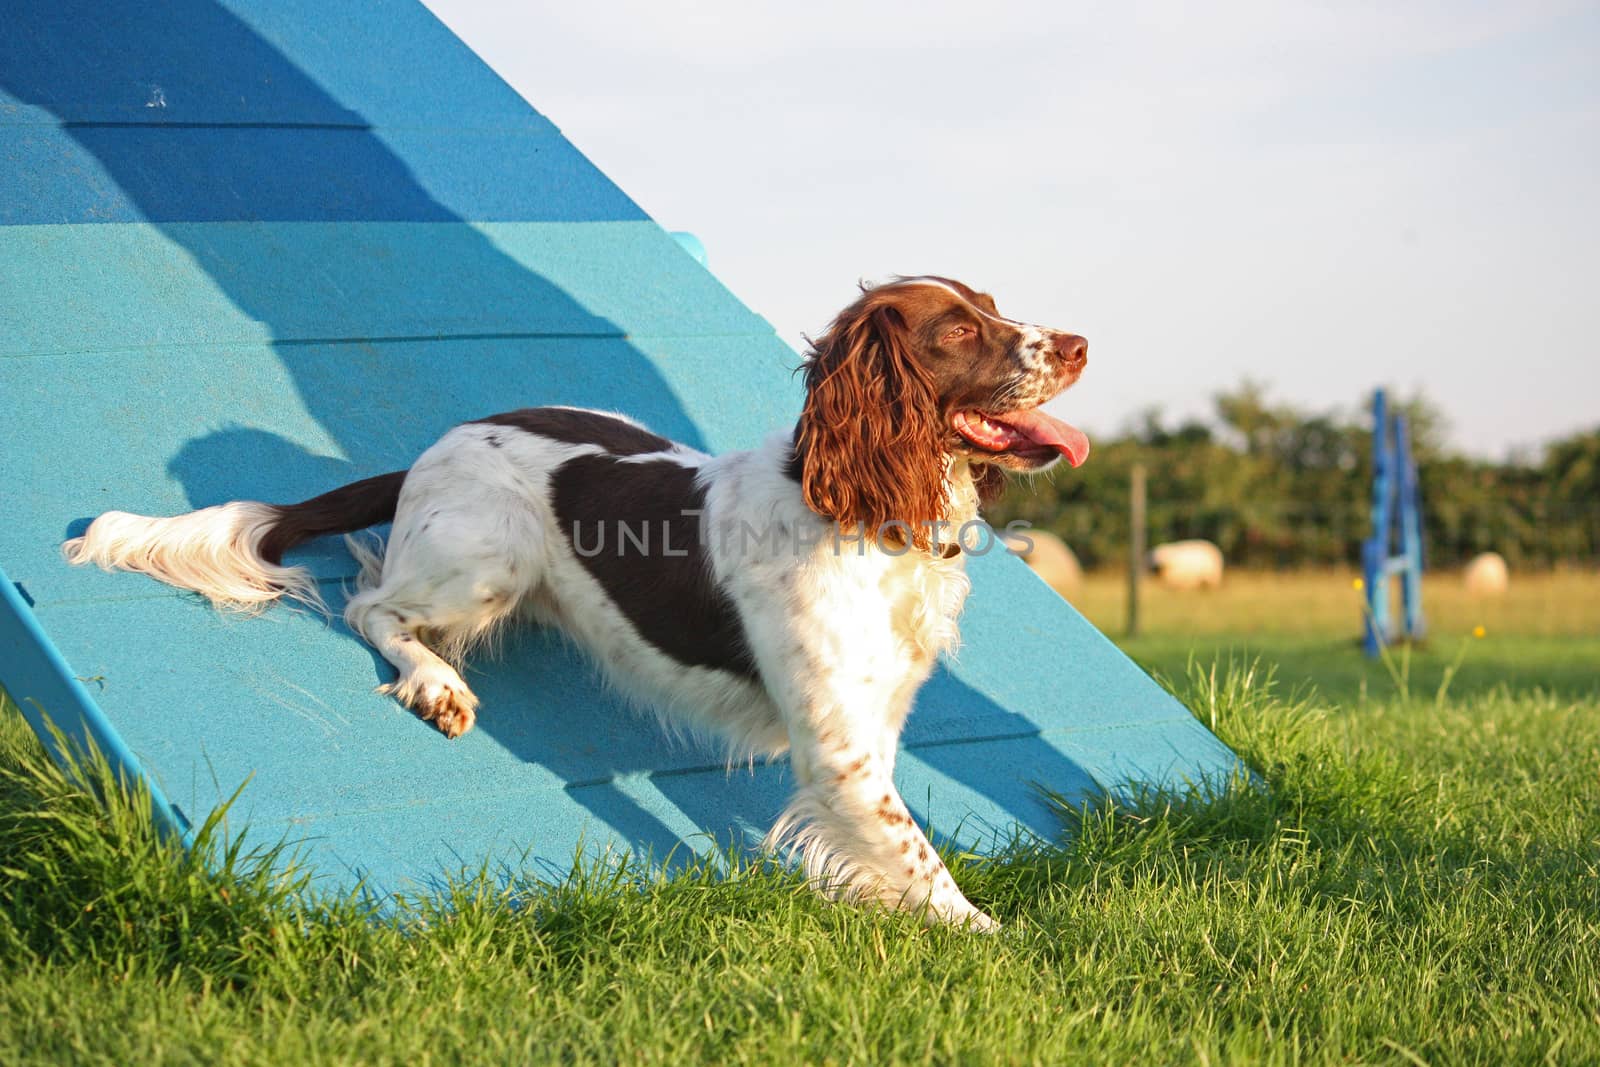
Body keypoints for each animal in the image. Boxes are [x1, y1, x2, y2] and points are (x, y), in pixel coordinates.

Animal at [62, 278, 1088, 934]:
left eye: (992, 306)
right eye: (955, 330)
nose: (1081, 343)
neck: (864, 513)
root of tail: (431, 451)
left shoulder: (873, 727)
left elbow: (889, 849)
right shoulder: (837, 750)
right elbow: (923, 859)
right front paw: (1002, 942)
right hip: (492, 554)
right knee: (370, 604)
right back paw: (437, 685)